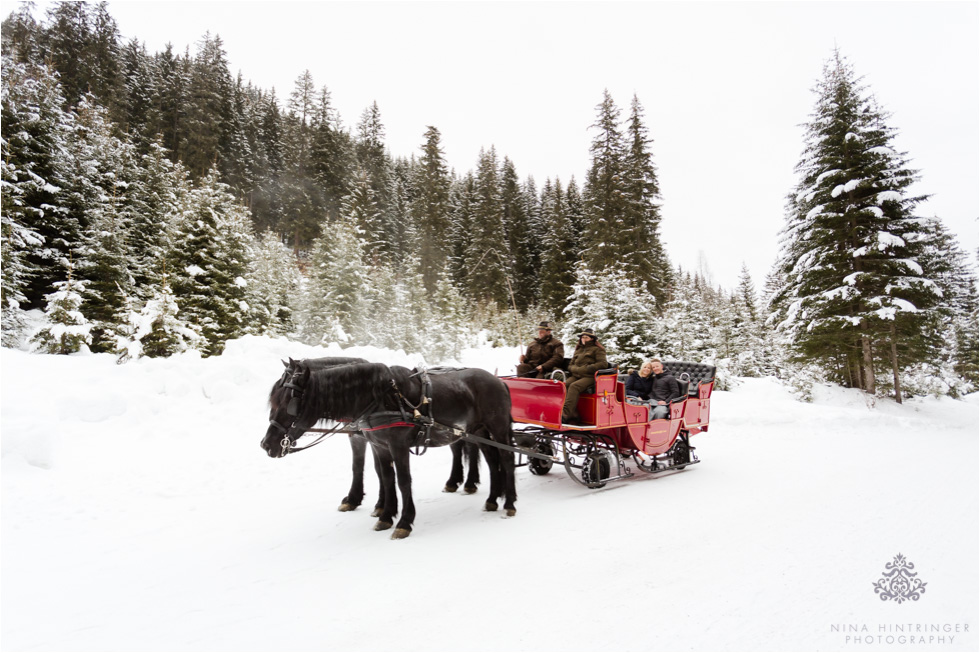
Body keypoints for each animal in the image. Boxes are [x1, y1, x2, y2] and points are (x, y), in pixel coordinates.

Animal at [264, 360, 516, 536]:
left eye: (289, 404)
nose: (266, 444)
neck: (381, 398)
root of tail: (499, 381)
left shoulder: (398, 445)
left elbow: (403, 481)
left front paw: (404, 522)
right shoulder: (379, 445)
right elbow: (385, 477)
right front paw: (385, 515)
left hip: (498, 428)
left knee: (506, 460)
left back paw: (509, 503)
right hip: (478, 431)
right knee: (491, 461)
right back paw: (492, 499)